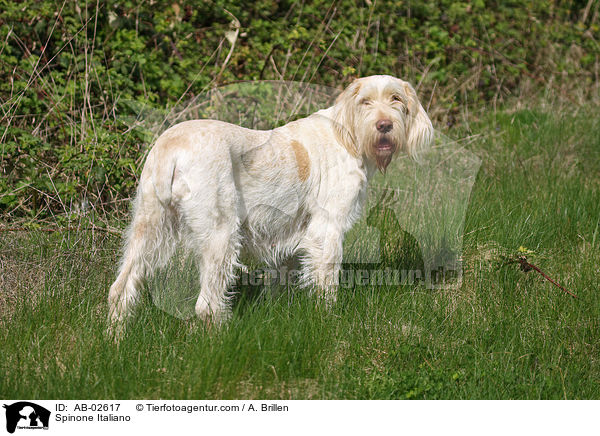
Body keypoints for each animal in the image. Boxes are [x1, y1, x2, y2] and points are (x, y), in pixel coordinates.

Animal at [108, 75, 434, 334]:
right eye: (365, 101)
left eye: (396, 98)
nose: (384, 125)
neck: (349, 135)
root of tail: (171, 146)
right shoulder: (327, 230)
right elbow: (326, 283)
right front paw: (328, 322)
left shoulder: (290, 238)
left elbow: (284, 282)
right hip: (220, 235)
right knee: (207, 305)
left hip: (149, 229)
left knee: (120, 289)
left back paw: (116, 341)